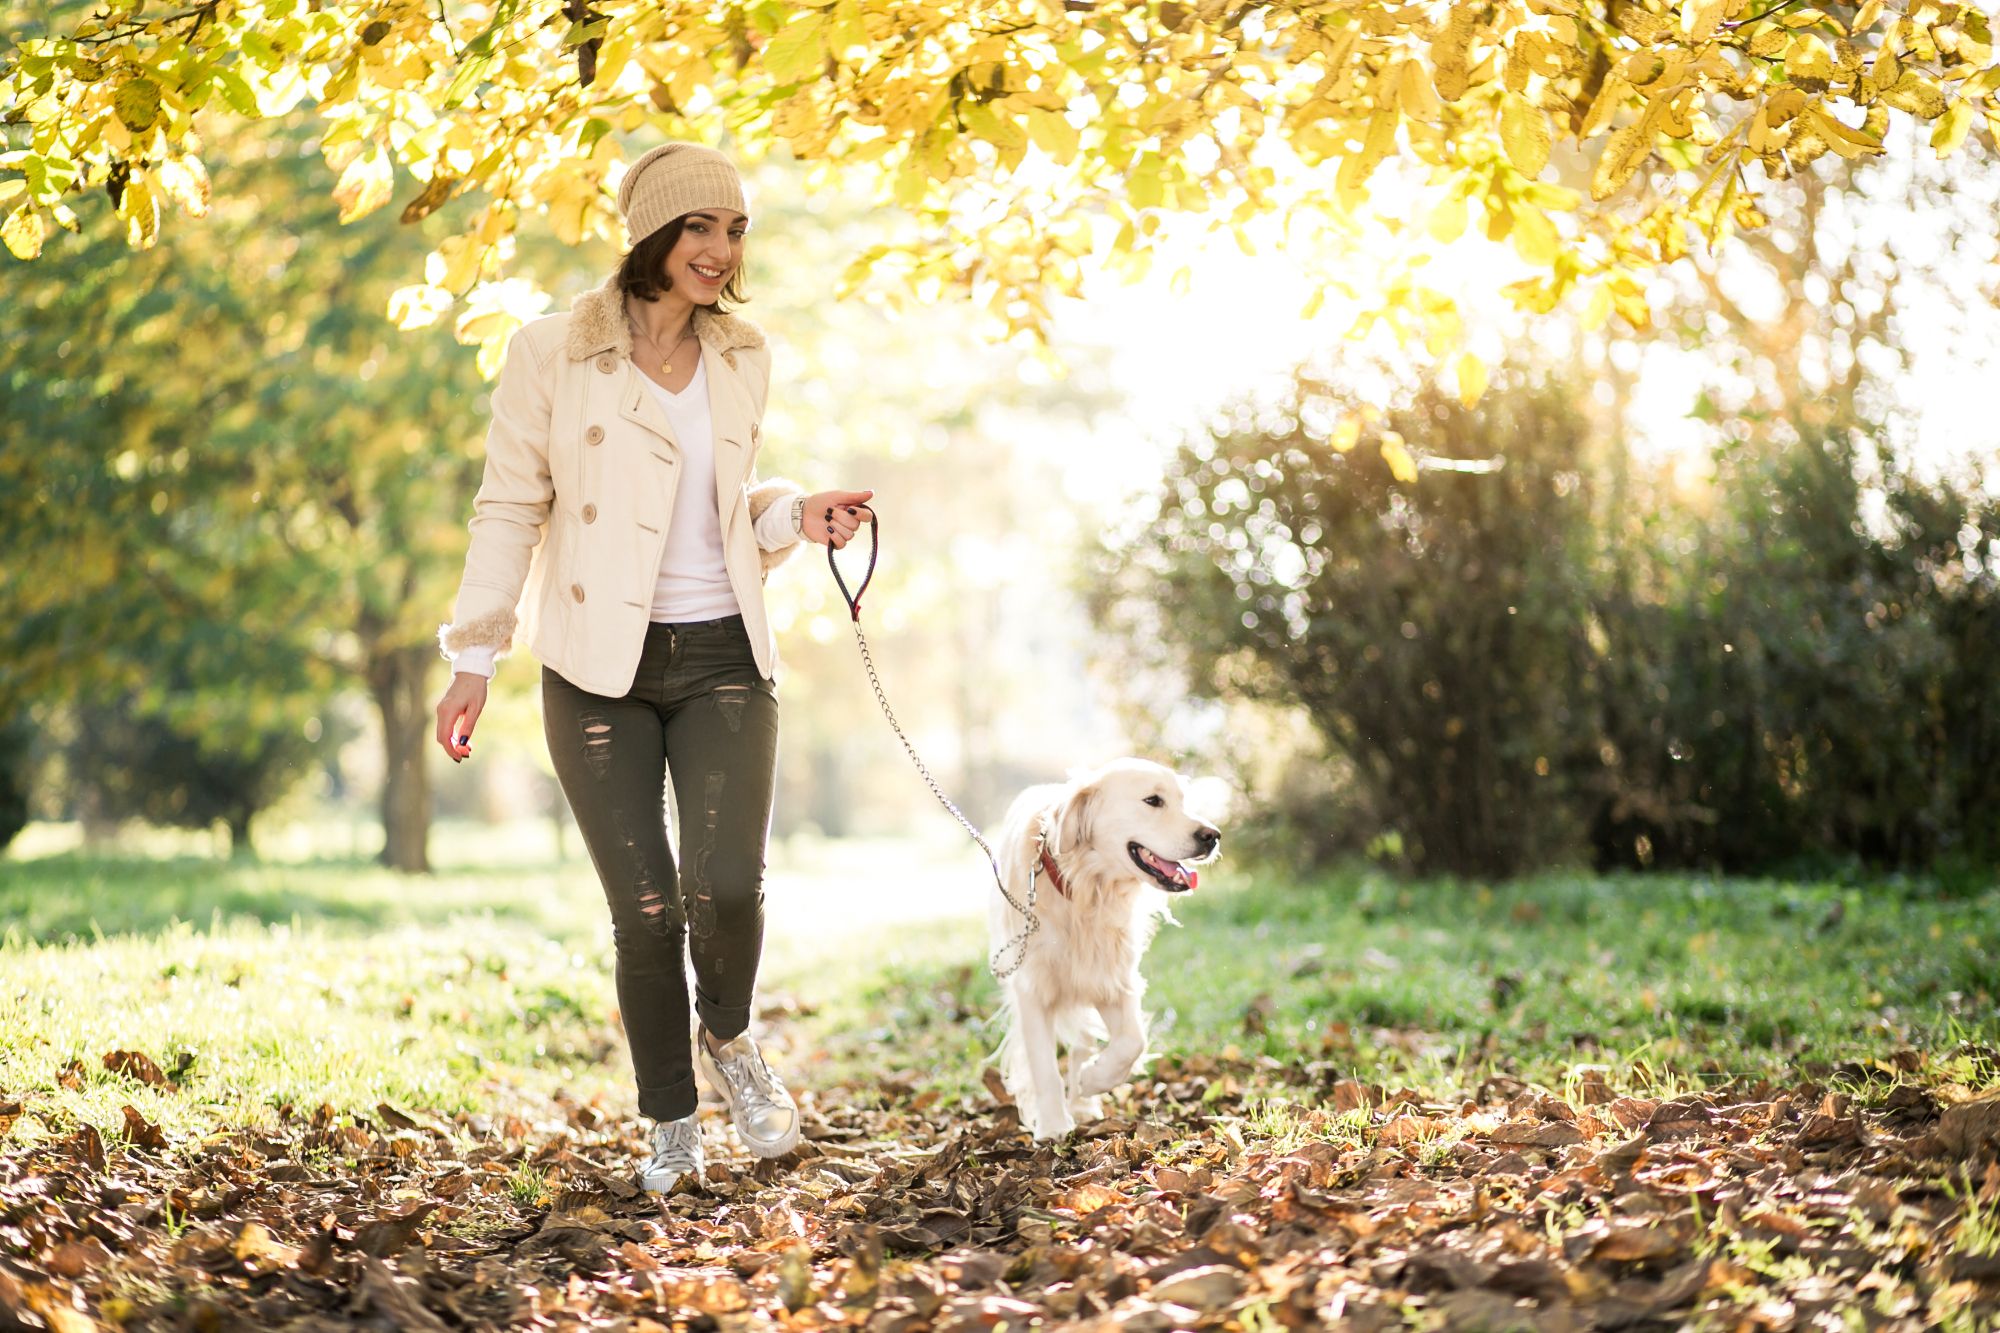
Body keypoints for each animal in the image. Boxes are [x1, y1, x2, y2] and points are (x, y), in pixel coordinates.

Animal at [988, 756, 1216, 1128]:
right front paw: (1053, 1126)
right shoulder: (1032, 986)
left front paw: (1094, 1080)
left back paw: (1083, 1102)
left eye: (1184, 800)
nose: (1213, 837)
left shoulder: (1112, 976)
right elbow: (1043, 1066)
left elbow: (1132, 1042)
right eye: (1153, 800)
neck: (1082, 887)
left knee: (1083, 1042)